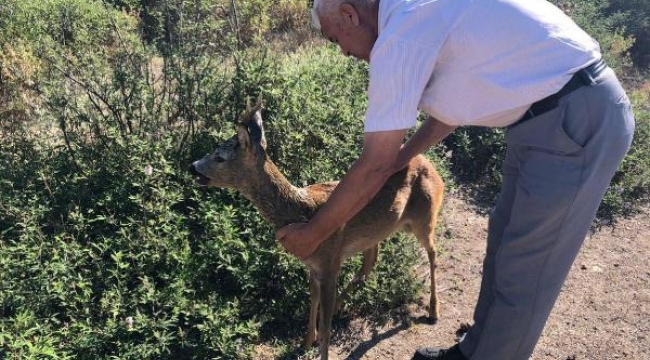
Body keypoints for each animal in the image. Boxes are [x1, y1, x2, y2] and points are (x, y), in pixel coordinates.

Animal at [189, 100, 446, 360]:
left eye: (220, 157)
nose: (192, 167)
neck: (301, 213)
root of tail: (431, 165)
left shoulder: (330, 263)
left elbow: (326, 328)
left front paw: (317, 343)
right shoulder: (314, 264)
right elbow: (312, 300)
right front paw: (306, 342)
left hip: (425, 216)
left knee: (433, 252)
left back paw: (433, 311)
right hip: (379, 229)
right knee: (371, 261)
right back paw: (341, 305)